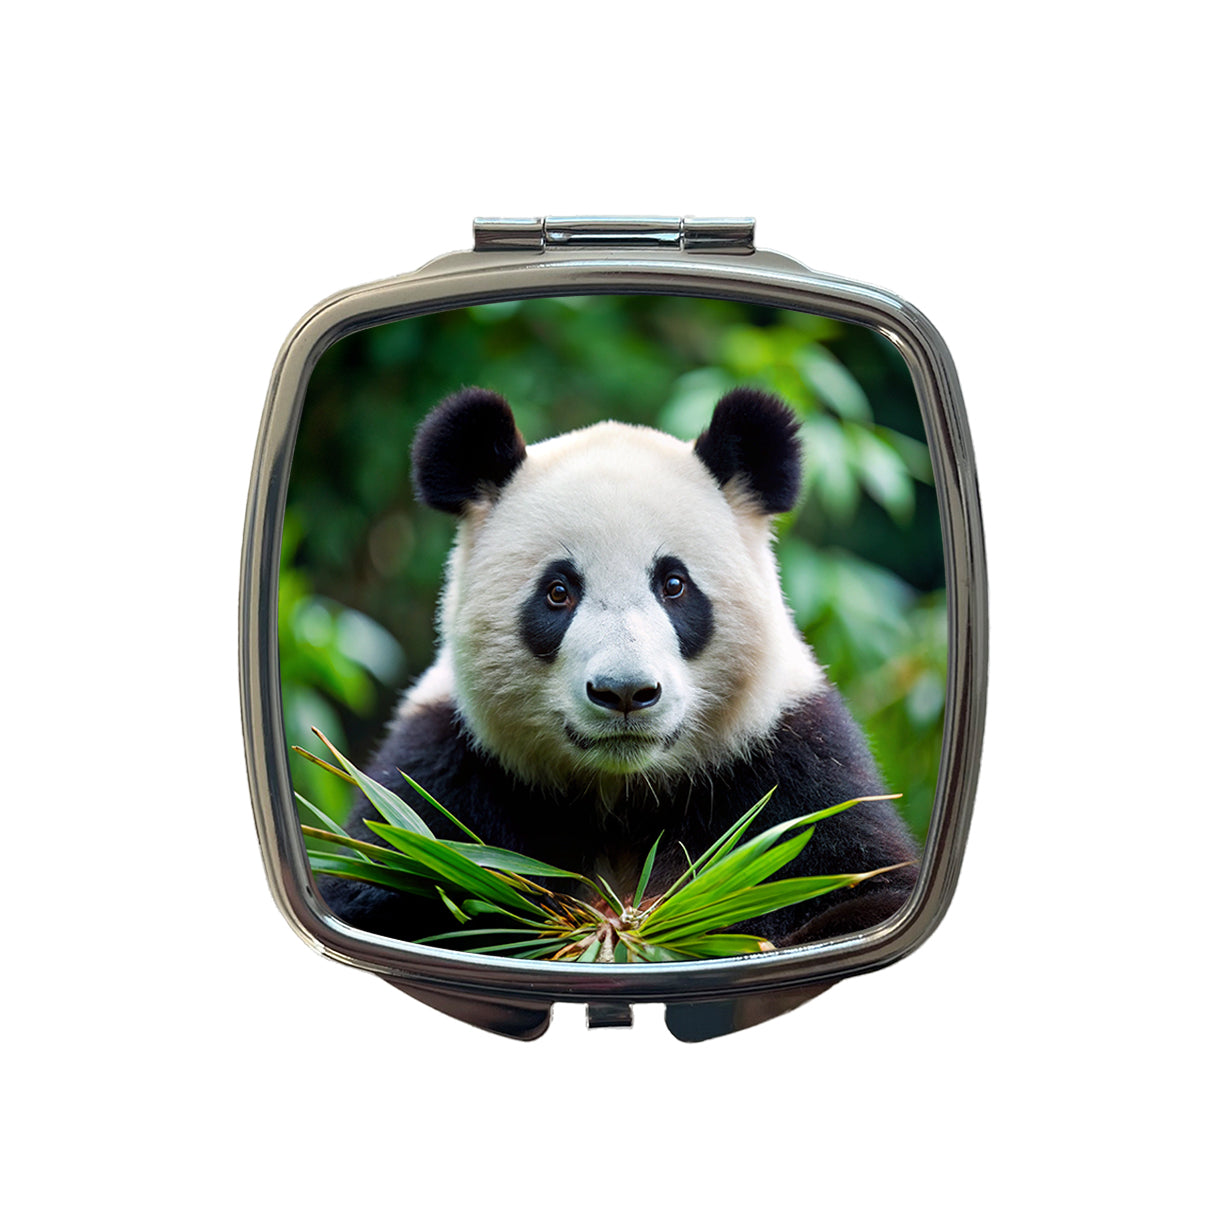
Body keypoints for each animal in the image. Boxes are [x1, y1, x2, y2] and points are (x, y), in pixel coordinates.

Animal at [319, 386, 919, 950]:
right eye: (558, 592)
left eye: (673, 584)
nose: (625, 692)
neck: (621, 797)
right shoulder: (445, 774)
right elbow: (389, 884)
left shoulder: (791, 765)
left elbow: (855, 884)